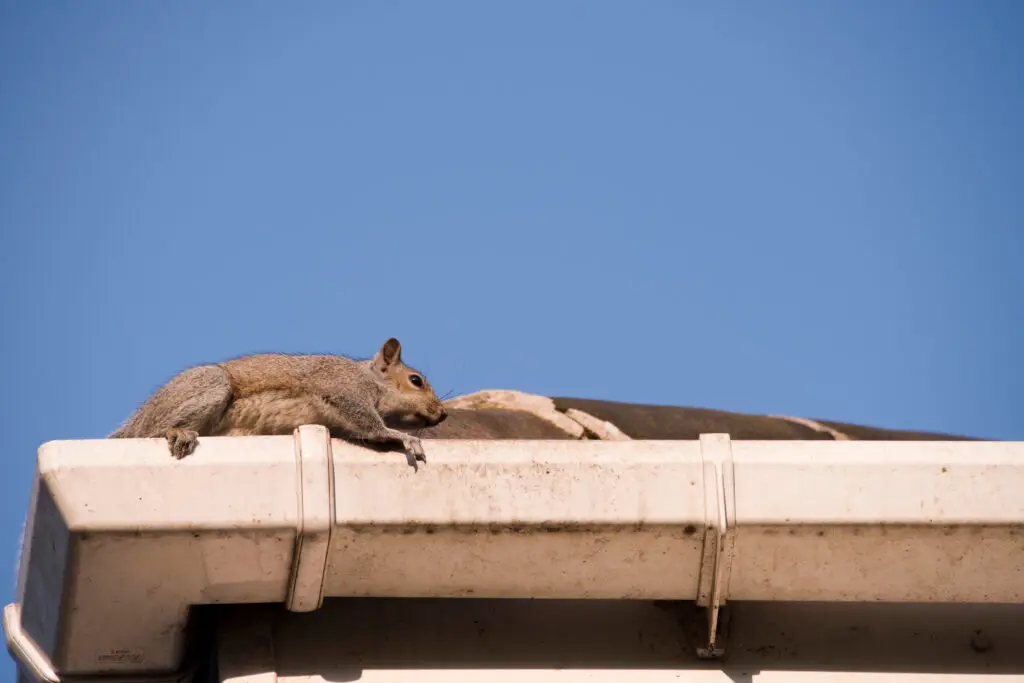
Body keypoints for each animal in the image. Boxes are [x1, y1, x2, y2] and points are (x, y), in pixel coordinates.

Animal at [108, 337, 447, 462]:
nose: (443, 413)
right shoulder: (341, 387)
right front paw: (403, 437)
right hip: (210, 385)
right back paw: (177, 432)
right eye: (415, 381)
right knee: (152, 432)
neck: (370, 379)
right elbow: (370, 422)